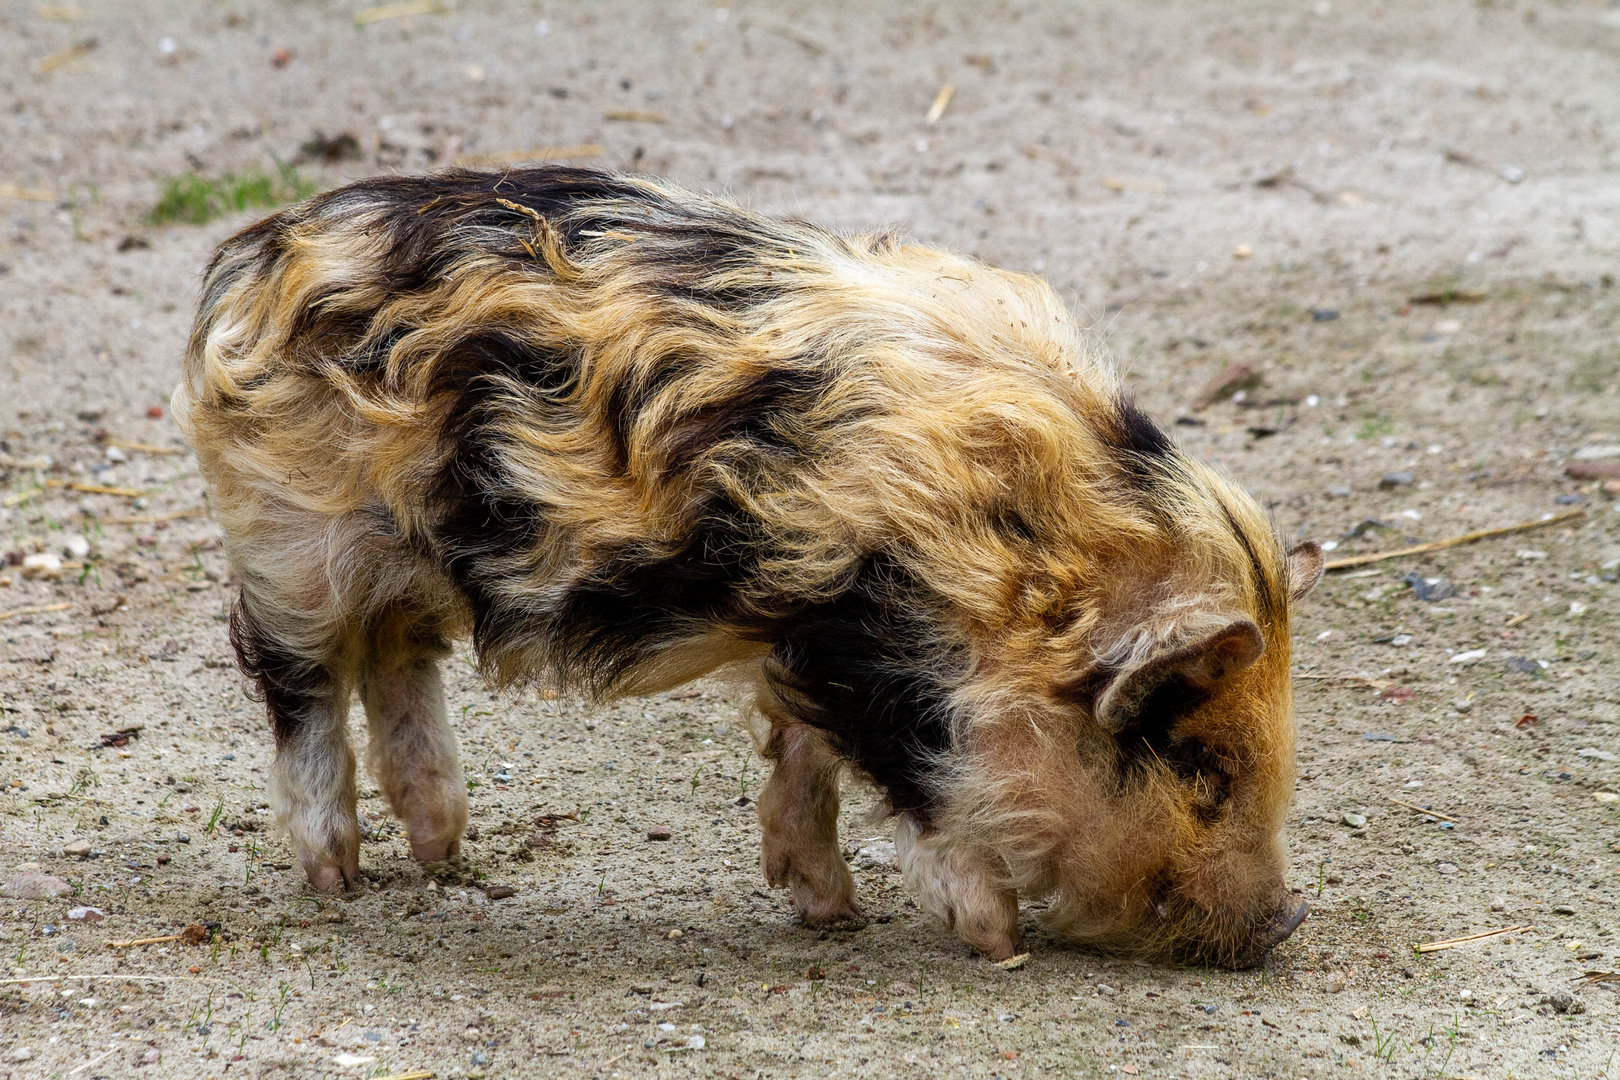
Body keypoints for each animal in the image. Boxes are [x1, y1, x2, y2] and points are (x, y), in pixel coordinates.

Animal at [170, 166, 1321, 965]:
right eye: (1200, 767)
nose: (1287, 922)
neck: (1023, 564)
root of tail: (255, 259)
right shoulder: (878, 656)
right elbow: (925, 786)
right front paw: (992, 943)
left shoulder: (803, 618)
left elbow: (803, 757)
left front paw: (832, 916)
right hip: (290, 541)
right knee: (299, 683)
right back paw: (337, 881)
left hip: (403, 560)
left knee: (399, 661)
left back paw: (446, 853)